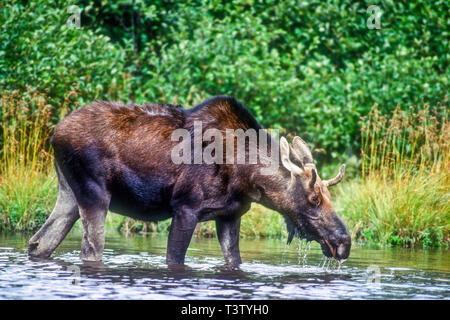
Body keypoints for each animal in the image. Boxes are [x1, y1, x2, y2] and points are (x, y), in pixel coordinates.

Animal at [28, 96, 352, 266]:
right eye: (314, 198)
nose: (344, 242)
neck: (247, 179)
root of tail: (54, 134)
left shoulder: (230, 215)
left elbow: (234, 261)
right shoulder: (185, 207)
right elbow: (174, 259)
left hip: (69, 194)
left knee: (39, 243)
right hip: (94, 194)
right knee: (90, 252)